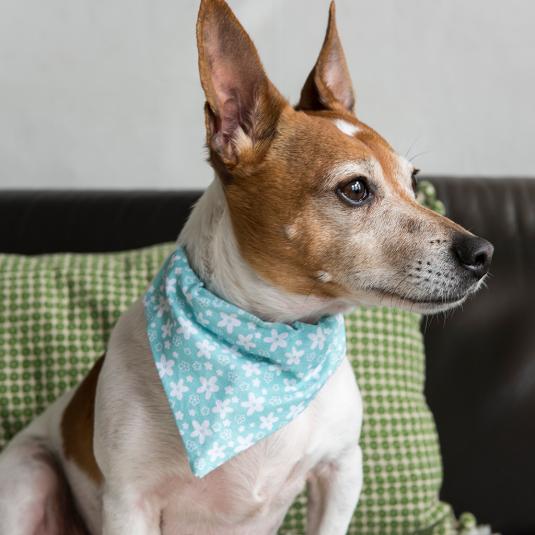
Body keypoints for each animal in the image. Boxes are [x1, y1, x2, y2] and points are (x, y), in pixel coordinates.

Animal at [0, 1, 494, 535]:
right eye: (356, 189)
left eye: (414, 181)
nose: (483, 252)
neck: (270, 343)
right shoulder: (129, 504)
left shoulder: (341, 469)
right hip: (28, 472)